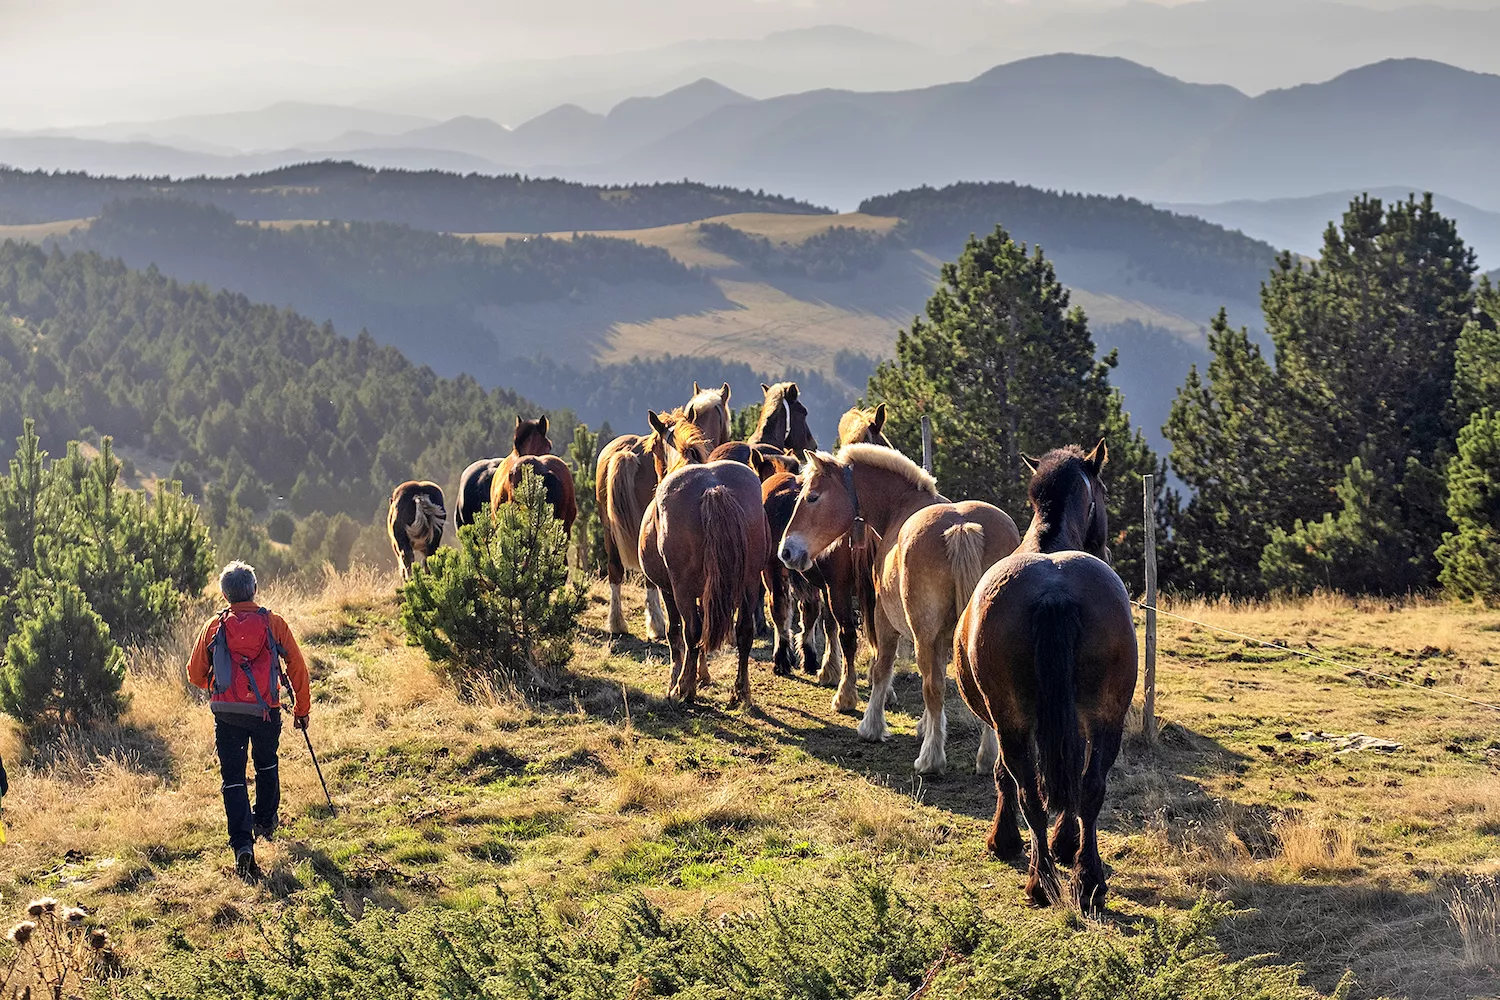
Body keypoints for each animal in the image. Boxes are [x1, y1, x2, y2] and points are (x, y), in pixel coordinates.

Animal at [786, 443, 1020, 773]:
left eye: (812, 497)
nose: (786, 550)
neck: (900, 505)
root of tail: (963, 527)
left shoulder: (884, 619)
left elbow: (882, 666)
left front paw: (871, 726)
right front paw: (926, 726)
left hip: (922, 635)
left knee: (933, 687)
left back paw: (931, 759)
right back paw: (988, 758)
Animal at [954, 437, 1128, 917]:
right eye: (1105, 489)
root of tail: (1054, 591)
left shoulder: (1005, 722)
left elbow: (1004, 775)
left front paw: (1005, 840)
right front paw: (1062, 843)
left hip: (1014, 723)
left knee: (1032, 791)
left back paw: (1042, 881)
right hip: (1106, 718)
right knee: (1088, 787)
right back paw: (1087, 882)